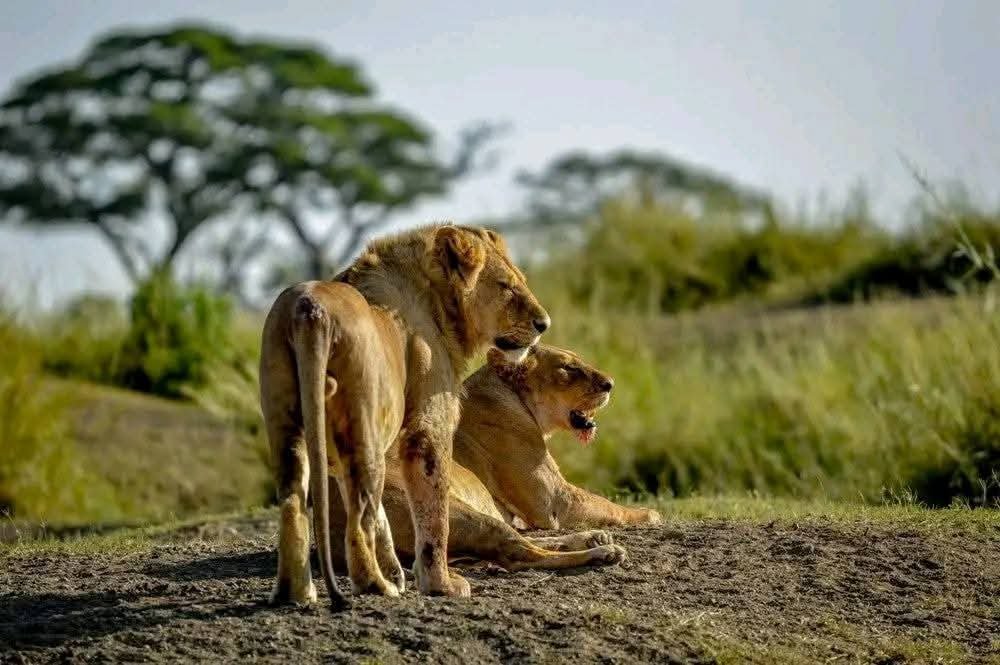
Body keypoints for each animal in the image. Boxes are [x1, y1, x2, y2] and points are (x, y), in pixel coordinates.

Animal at [259, 224, 549, 607]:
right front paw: (439, 584)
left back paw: (297, 593)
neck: (437, 301)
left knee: (295, 499)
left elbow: (385, 516)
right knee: (359, 515)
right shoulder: (429, 425)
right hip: (364, 429)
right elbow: (433, 513)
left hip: (288, 428)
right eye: (506, 286)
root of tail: (310, 310)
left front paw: (398, 573)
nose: (544, 323)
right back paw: (373, 585)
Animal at [327, 343, 651, 572]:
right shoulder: (553, 501)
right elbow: (606, 504)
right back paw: (602, 553)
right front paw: (648, 514)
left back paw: (593, 539)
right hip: (453, 510)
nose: (610, 384)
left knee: (520, 540)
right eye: (569, 368)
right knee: (517, 553)